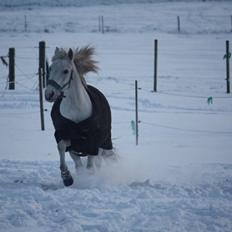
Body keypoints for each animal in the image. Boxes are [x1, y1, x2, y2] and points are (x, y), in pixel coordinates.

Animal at [44, 46, 114, 187]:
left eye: (66, 71)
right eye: (50, 68)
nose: (49, 94)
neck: (75, 109)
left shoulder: (93, 141)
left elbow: (91, 166)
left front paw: (89, 179)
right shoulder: (64, 135)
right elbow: (61, 147)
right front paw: (67, 177)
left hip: (103, 143)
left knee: (98, 162)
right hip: (75, 149)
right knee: (79, 164)